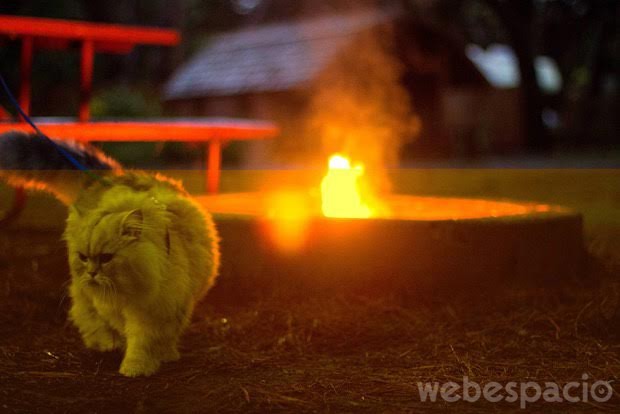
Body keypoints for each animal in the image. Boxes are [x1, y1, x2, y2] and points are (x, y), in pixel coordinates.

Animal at [0, 132, 220, 376]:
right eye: (84, 257)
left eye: (106, 258)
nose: (92, 273)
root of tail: (110, 177)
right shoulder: (115, 305)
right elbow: (123, 333)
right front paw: (128, 359)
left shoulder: (161, 310)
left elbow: (149, 341)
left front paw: (143, 364)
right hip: (82, 288)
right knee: (84, 313)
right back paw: (105, 344)